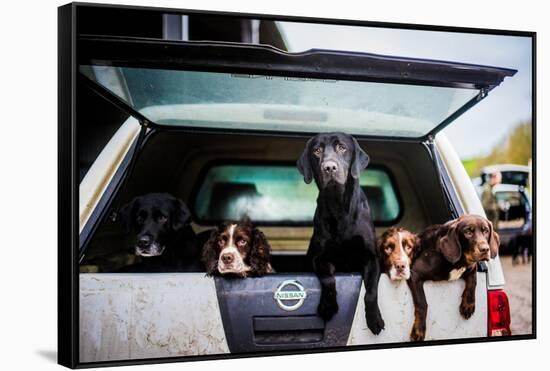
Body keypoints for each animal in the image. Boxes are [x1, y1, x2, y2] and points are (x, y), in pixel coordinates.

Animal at [300, 132, 386, 336]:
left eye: (342, 148)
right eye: (317, 150)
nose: (329, 167)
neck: (338, 205)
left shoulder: (372, 258)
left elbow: (371, 292)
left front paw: (374, 319)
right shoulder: (319, 258)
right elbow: (328, 279)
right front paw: (328, 306)